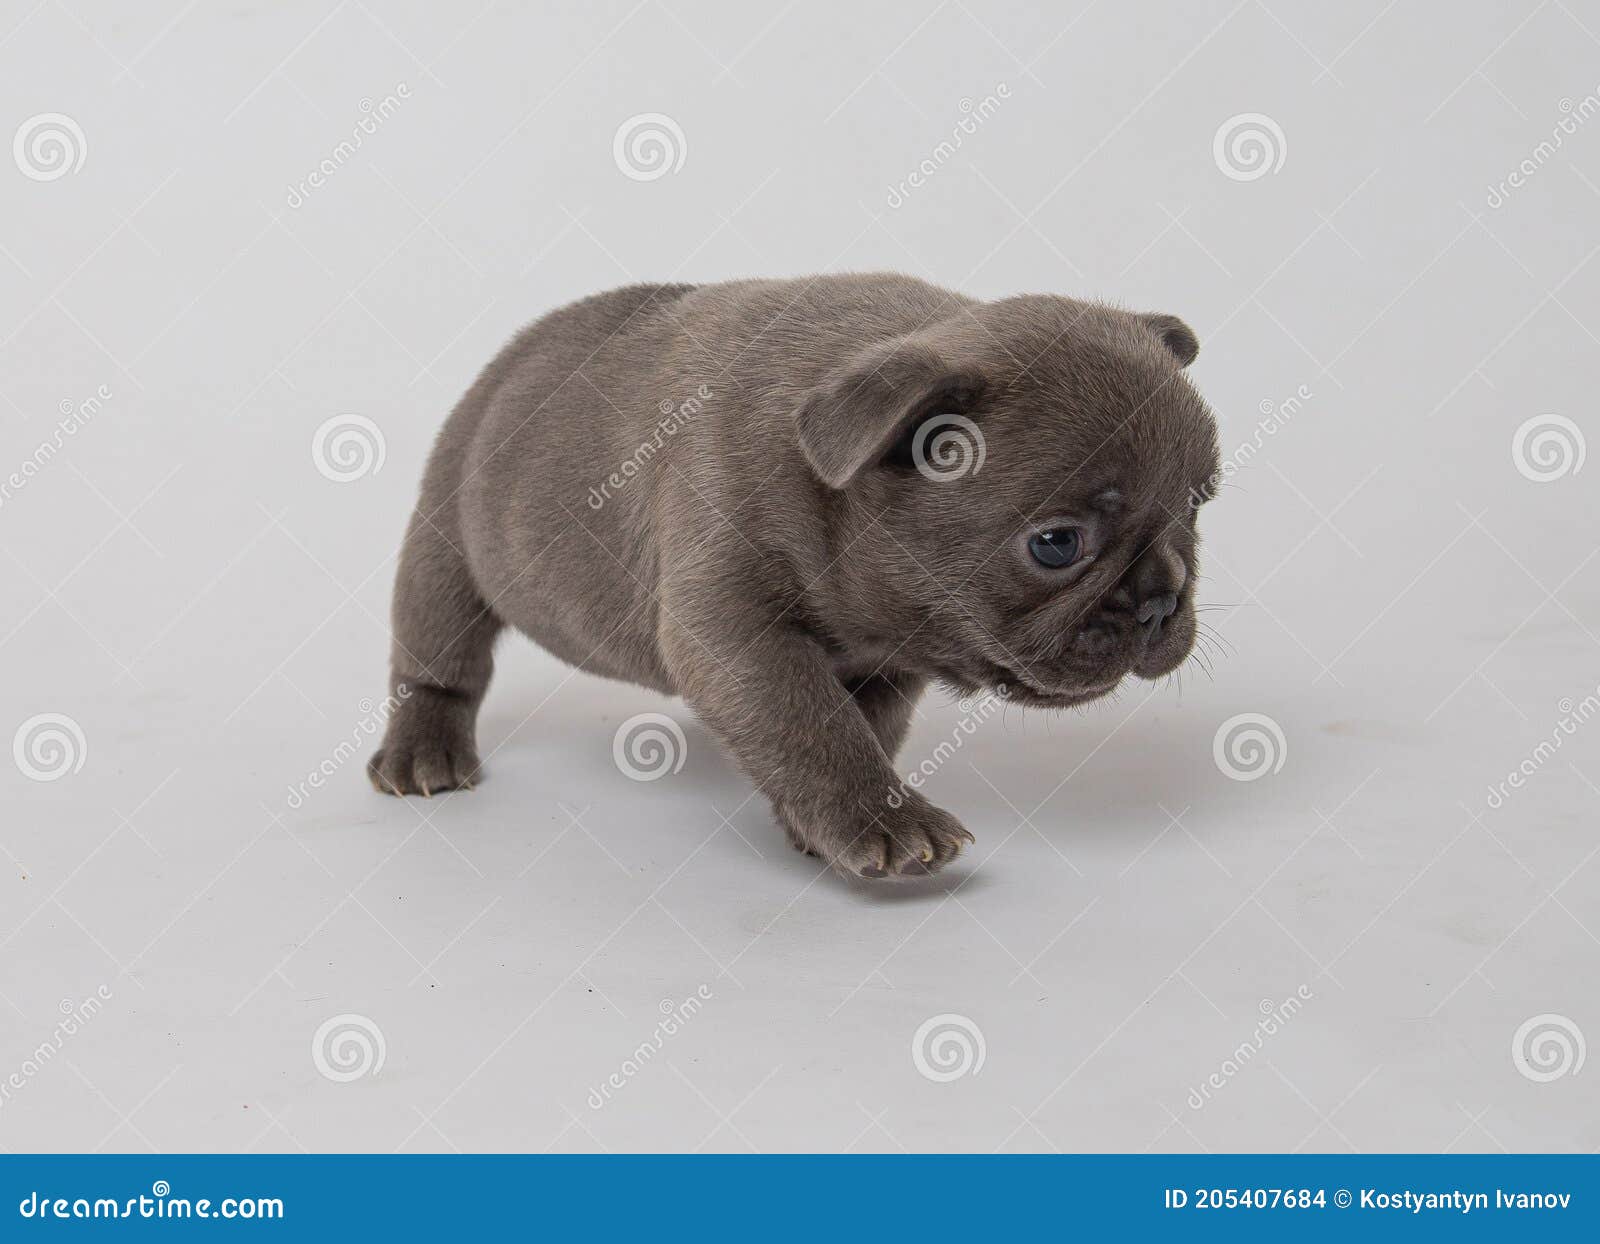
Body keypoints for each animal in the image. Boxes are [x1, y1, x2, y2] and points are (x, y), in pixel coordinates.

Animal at [368, 278, 1216, 882]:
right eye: (1056, 544)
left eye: (1197, 505)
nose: (1159, 600)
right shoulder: (736, 630)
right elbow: (812, 721)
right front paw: (882, 821)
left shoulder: (887, 658)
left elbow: (852, 727)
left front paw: (820, 823)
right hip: (445, 538)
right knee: (439, 657)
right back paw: (422, 750)